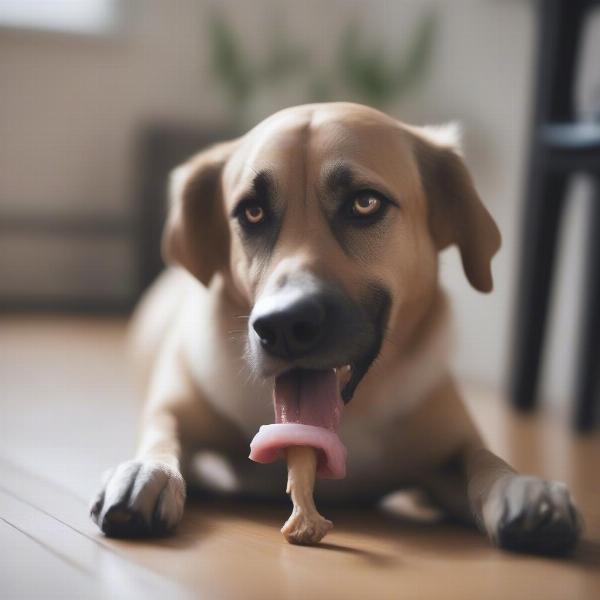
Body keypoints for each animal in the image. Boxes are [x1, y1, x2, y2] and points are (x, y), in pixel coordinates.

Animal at [91, 102, 584, 552]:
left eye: (364, 203)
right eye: (252, 212)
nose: (283, 326)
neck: (350, 416)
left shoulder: (449, 446)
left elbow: (482, 458)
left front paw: (523, 486)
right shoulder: (178, 408)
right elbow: (163, 432)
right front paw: (147, 471)